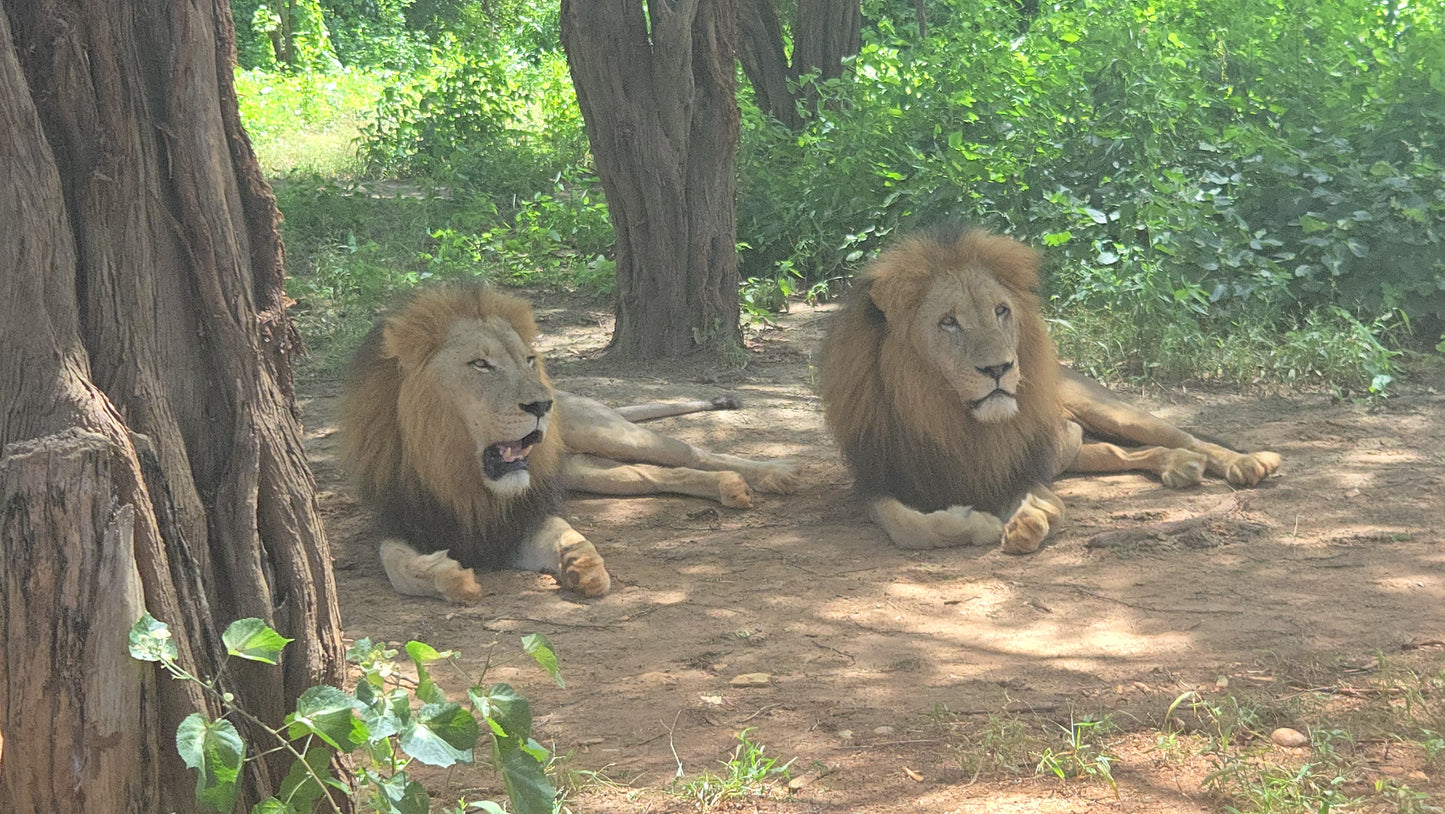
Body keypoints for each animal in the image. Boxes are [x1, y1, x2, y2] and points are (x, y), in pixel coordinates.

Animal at [340, 283, 799, 603]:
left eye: (529, 360)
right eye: (481, 364)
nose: (542, 404)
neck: (462, 478)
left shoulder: (524, 515)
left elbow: (567, 534)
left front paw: (583, 564)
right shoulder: (398, 520)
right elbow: (398, 566)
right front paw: (451, 576)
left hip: (609, 433)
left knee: (689, 451)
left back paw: (774, 474)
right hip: (588, 471)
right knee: (653, 476)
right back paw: (728, 486)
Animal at [817, 225, 1281, 554]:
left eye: (1001, 311)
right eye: (948, 322)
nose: (1000, 368)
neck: (950, 418)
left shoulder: (1018, 467)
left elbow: (1047, 506)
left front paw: (1027, 520)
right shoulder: (876, 481)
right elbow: (910, 527)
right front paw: (977, 523)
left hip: (1107, 409)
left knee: (1180, 436)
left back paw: (1247, 463)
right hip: (1076, 450)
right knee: (1119, 453)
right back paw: (1179, 466)